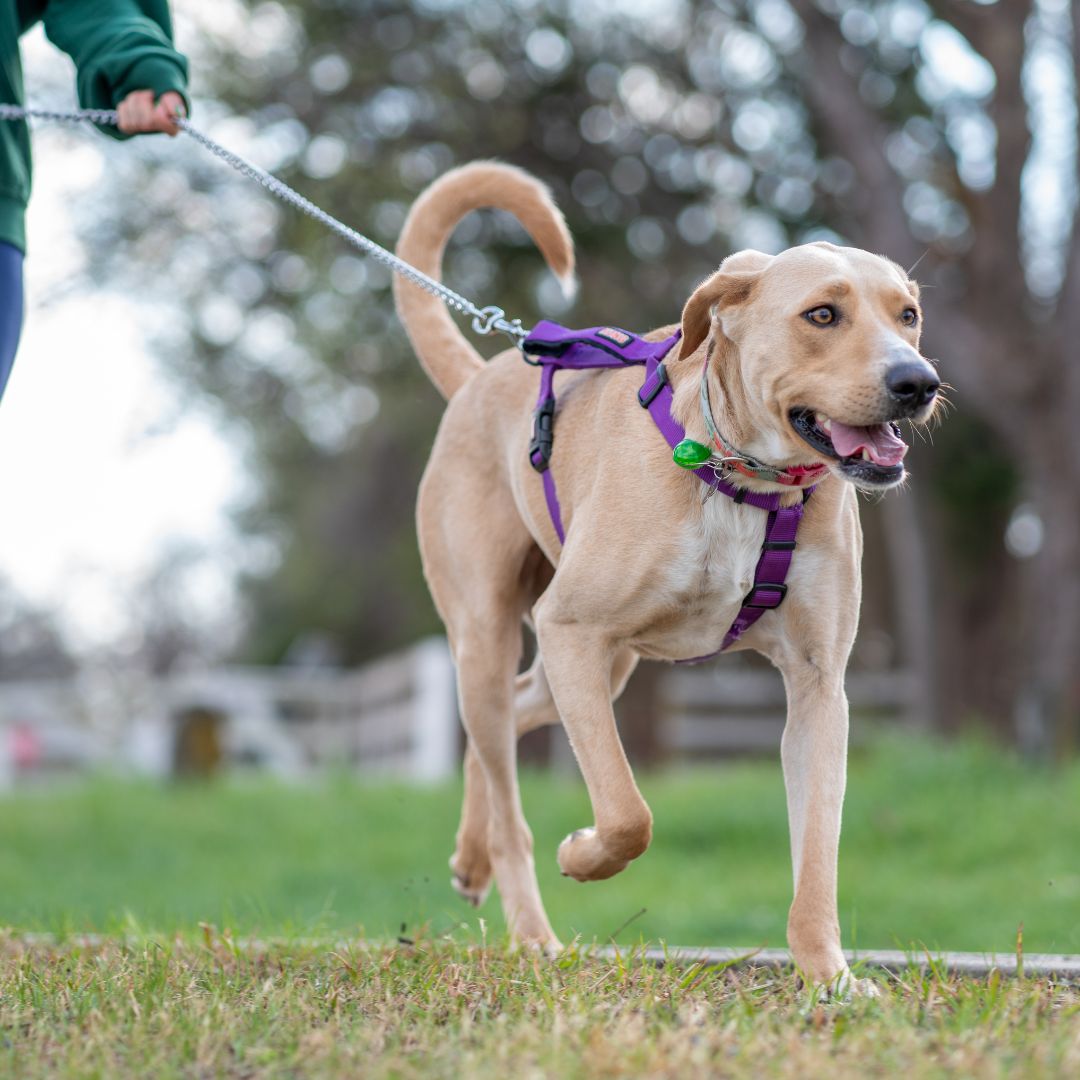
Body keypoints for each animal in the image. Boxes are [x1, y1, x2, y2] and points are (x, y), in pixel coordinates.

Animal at [393, 156, 941, 989]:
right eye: (822, 315)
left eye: (906, 314)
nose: (919, 382)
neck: (744, 480)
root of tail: (484, 375)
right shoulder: (571, 628)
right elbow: (628, 813)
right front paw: (584, 857)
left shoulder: (818, 686)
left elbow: (818, 854)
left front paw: (828, 976)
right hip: (495, 634)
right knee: (506, 781)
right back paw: (531, 931)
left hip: (597, 666)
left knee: (503, 728)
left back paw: (470, 856)